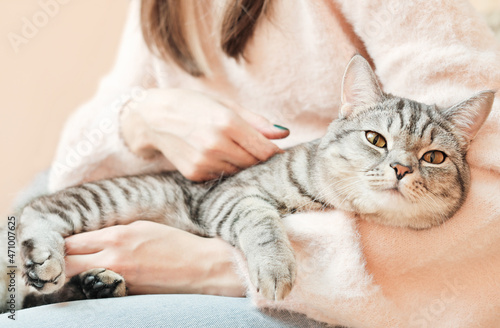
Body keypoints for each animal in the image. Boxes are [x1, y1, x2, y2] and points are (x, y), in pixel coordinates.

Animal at [0, 55, 494, 312]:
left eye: (433, 157)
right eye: (376, 139)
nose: (401, 168)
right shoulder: (231, 196)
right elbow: (263, 222)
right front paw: (275, 269)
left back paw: (97, 283)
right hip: (110, 198)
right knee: (36, 214)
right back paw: (47, 262)